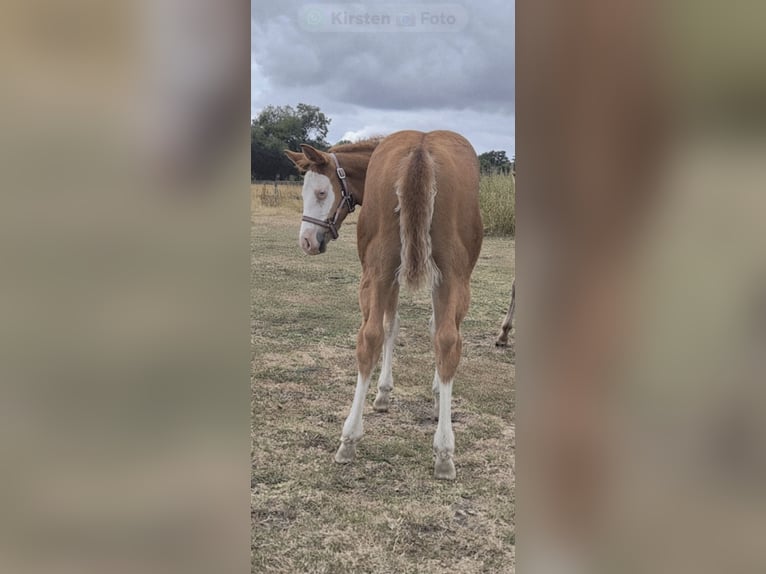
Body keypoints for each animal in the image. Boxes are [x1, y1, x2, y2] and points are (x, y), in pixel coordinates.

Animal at [285, 130, 483, 479]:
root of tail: (420, 149)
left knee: (376, 337)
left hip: (382, 272)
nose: (306, 241)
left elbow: (399, 328)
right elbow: (406, 327)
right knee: (434, 339)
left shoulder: (398, 275)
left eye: (321, 192)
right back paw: (439, 451)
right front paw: (399, 394)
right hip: (440, 275)